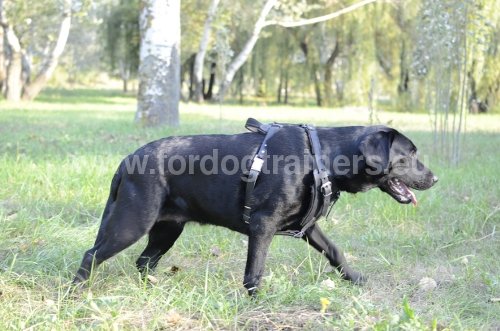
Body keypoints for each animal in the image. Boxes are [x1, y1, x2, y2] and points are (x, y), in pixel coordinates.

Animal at [73, 123, 438, 294]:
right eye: (409, 154)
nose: (434, 178)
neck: (322, 158)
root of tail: (126, 160)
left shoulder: (309, 226)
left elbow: (335, 251)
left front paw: (355, 278)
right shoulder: (263, 225)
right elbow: (255, 270)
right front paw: (255, 298)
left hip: (167, 228)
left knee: (144, 261)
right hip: (133, 221)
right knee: (92, 254)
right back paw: (76, 291)